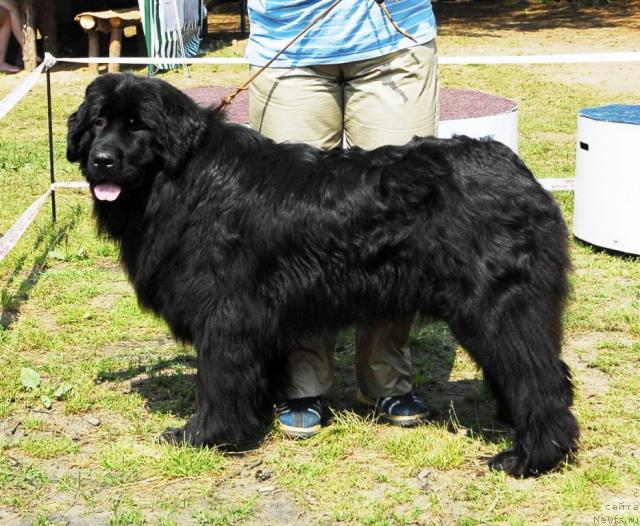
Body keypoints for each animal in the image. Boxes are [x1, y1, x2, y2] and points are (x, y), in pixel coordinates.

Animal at [67, 73, 576, 478]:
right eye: (98, 124)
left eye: (138, 126)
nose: (102, 159)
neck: (183, 179)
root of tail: (517, 170)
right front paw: (259, 415)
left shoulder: (225, 313)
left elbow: (217, 380)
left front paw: (205, 435)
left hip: (498, 306)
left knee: (541, 379)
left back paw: (531, 457)